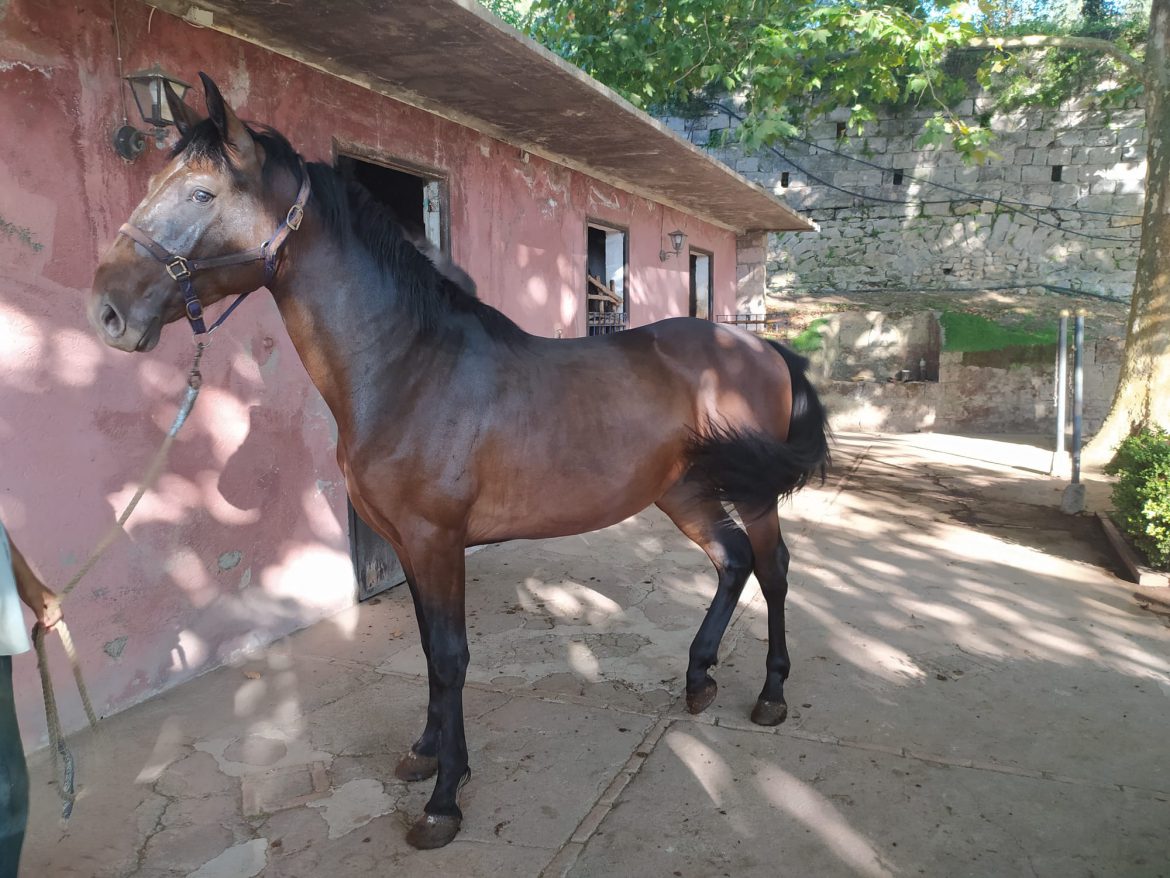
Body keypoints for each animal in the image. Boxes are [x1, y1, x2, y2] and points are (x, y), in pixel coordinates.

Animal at [88, 74, 830, 849]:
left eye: (202, 193)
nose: (107, 310)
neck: (411, 367)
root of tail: (762, 347)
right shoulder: (407, 543)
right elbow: (427, 649)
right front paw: (427, 754)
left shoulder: (437, 540)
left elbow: (449, 658)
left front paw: (443, 800)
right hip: (682, 489)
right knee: (732, 560)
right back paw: (698, 678)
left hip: (749, 492)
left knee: (773, 568)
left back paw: (771, 694)